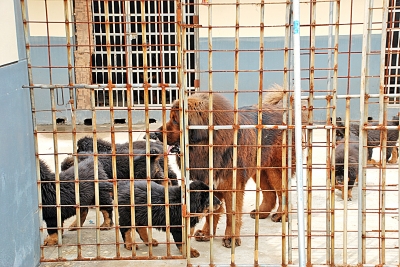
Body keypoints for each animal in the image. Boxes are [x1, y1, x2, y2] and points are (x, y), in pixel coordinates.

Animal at [150, 90, 296, 249]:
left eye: (175, 120)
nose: (155, 133)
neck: (210, 146)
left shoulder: (232, 185)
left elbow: (231, 214)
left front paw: (231, 238)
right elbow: (211, 212)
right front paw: (206, 233)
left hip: (275, 169)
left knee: (283, 193)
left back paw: (281, 215)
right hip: (260, 169)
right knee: (270, 193)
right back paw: (261, 213)